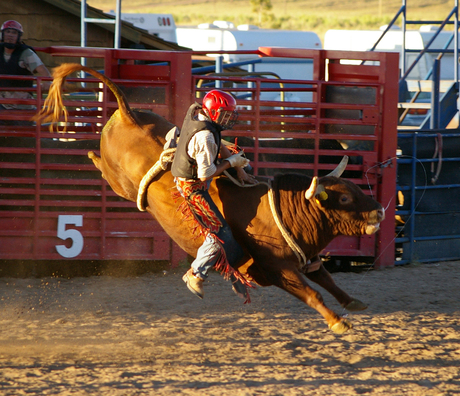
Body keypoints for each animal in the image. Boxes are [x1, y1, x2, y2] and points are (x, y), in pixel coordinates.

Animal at [36, 63, 386, 332]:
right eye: (344, 200)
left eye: (356, 190)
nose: (379, 212)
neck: (285, 211)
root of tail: (127, 113)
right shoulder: (277, 270)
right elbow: (313, 294)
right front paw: (338, 322)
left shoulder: (309, 258)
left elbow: (327, 280)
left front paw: (352, 302)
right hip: (119, 181)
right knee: (104, 167)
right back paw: (90, 154)